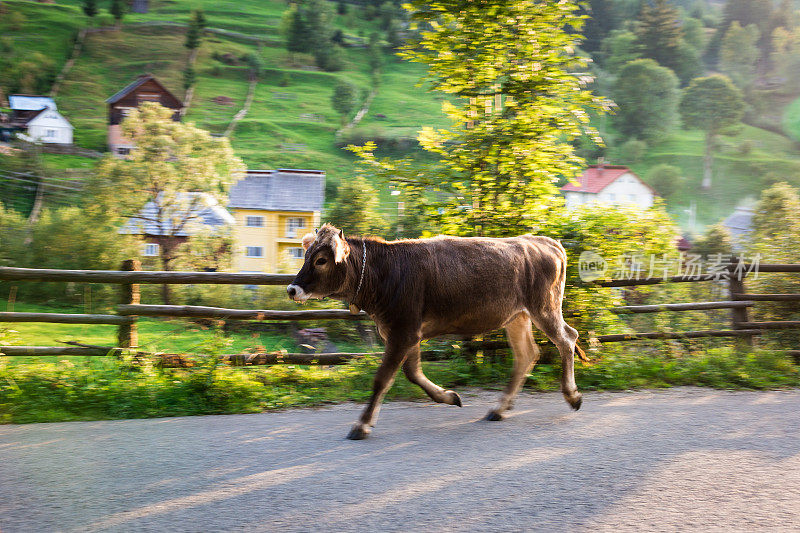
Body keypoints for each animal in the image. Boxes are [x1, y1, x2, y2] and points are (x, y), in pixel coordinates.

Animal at [288, 222, 588, 438]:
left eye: (321, 260)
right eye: (306, 255)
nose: (292, 289)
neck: (385, 272)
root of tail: (543, 240)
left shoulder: (403, 331)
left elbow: (382, 378)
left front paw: (361, 425)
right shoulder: (406, 332)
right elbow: (412, 373)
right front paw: (448, 396)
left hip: (544, 307)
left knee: (567, 339)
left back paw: (572, 395)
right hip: (518, 316)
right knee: (527, 354)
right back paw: (499, 408)